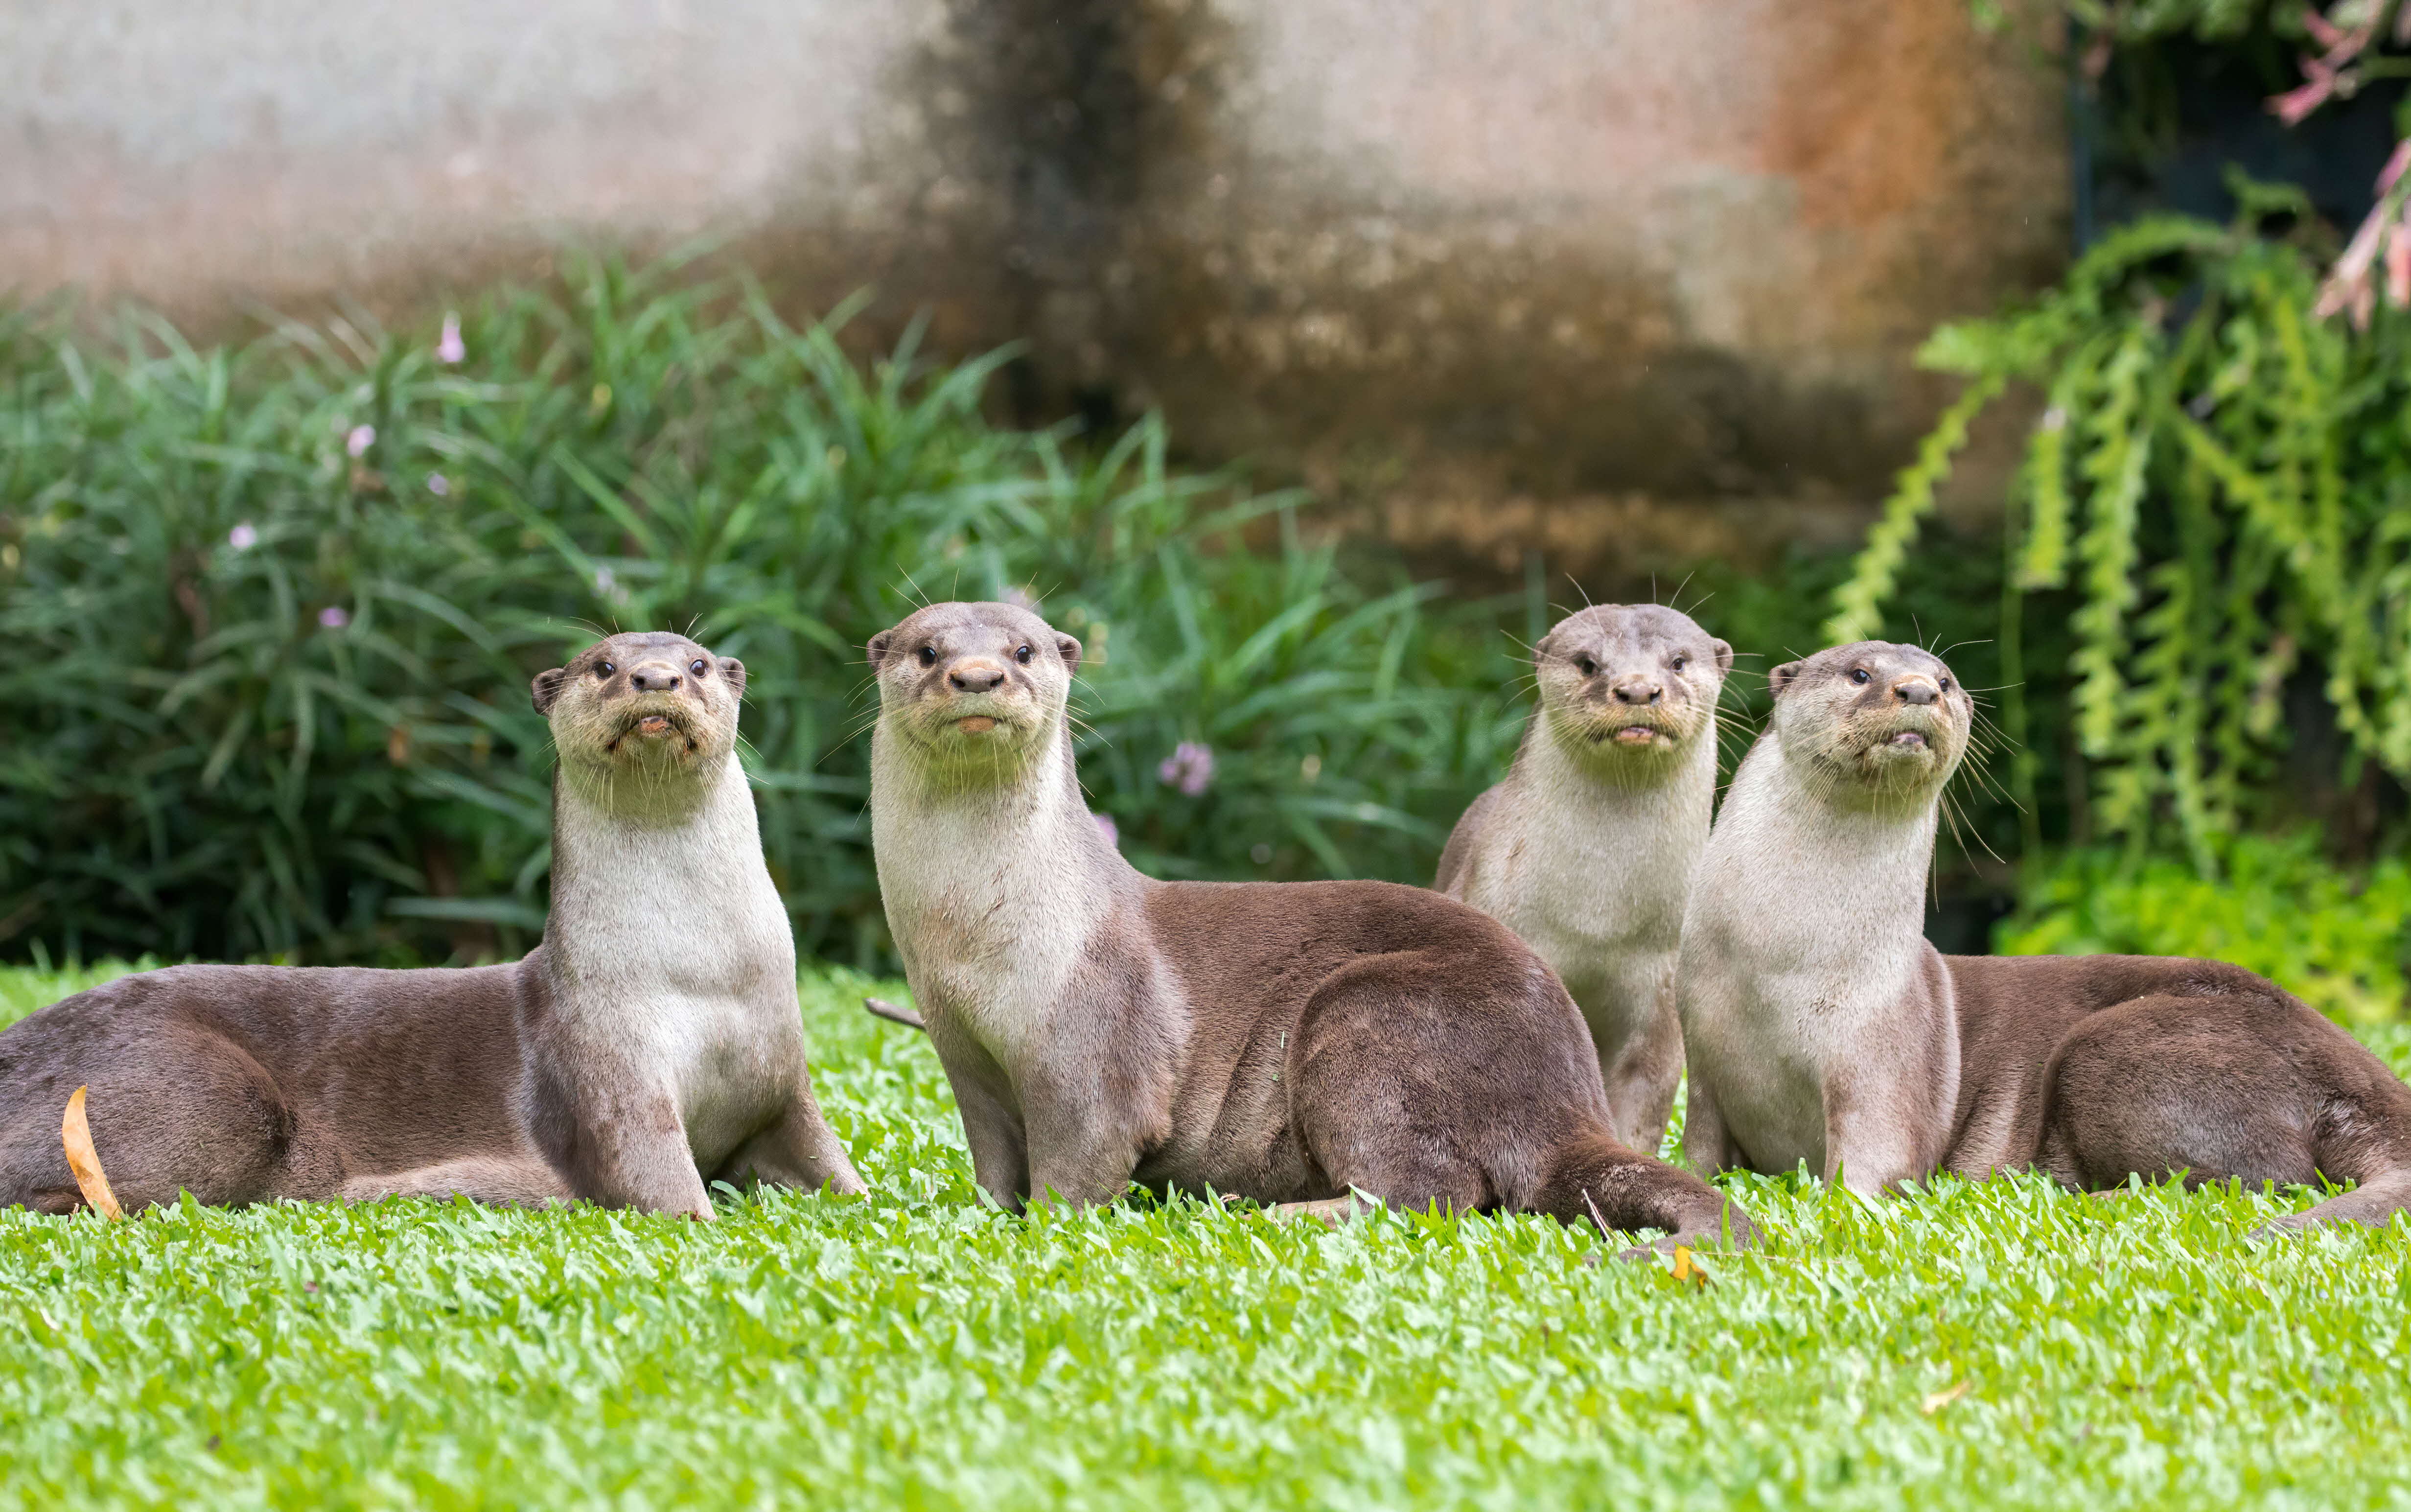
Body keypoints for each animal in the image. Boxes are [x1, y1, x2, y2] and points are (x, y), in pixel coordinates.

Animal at [0, 632, 863, 1217]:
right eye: (605, 666)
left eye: (696, 663)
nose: (655, 678)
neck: (698, 976)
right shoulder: (615, 1075)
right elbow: (661, 1182)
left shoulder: (784, 1075)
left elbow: (834, 1164)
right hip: (206, 1089)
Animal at [1435, 604, 1731, 1151]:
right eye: (1588, 662)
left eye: (1679, 661)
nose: (1637, 689)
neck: (1598, 918)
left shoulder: (1660, 998)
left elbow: (1643, 1096)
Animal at [1677, 639, 2411, 1231]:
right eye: (1860, 672)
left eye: (1944, 680)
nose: (1916, 689)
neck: (1777, 971)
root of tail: (2364, 1081)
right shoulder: (1705, 1064)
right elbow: (1699, 1153)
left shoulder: (1882, 1058)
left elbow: (1873, 1166)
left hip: (2117, 1046)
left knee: (2273, 1177)